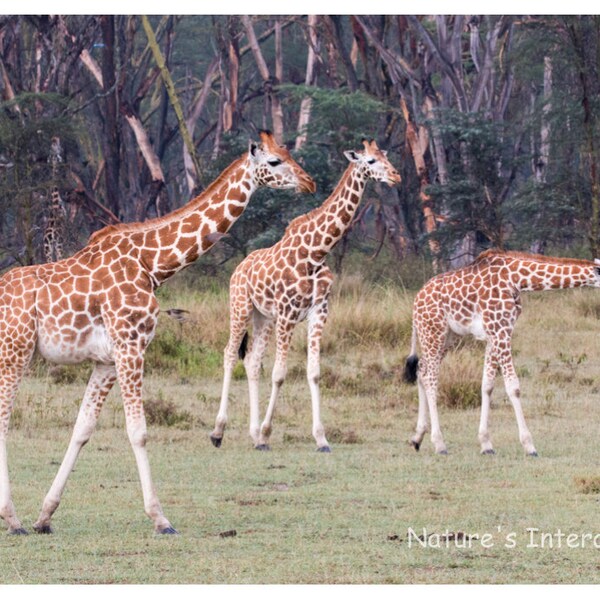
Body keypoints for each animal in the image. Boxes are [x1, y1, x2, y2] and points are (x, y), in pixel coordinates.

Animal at [0, 131, 316, 536]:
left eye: (289, 153)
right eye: (275, 161)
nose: (309, 182)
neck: (153, 264)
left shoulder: (107, 359)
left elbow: (83, 428)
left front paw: (45, 515)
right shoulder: (131, 346)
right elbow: (139, 431)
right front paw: (161, 519)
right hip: (16, 351)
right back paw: (12, 519)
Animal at [211, 139, 404, 450]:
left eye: (385, 156)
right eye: (371, 161)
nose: (396, 176)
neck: (316, 252)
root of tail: (238, 268)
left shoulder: (319, 313)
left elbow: (313, 373)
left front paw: (321, 438)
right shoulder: (288, 314)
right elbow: (279, 375)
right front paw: (267, 433)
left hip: (263, 317)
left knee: (251, 361)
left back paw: (252, 434)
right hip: (240, 307)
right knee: (230, 354)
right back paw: (218, 432)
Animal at [400, 248, 600, 454]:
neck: (516, 278)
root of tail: (416, 301)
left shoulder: (495, 334)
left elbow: (487, 385)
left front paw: (486, 443)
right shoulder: (500, 331)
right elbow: (514, 387)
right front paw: (529, 445)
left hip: (448, 336)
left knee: (422, 370)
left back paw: (417, 438)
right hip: (433, 331)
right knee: (431, 378)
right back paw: (439, 444)